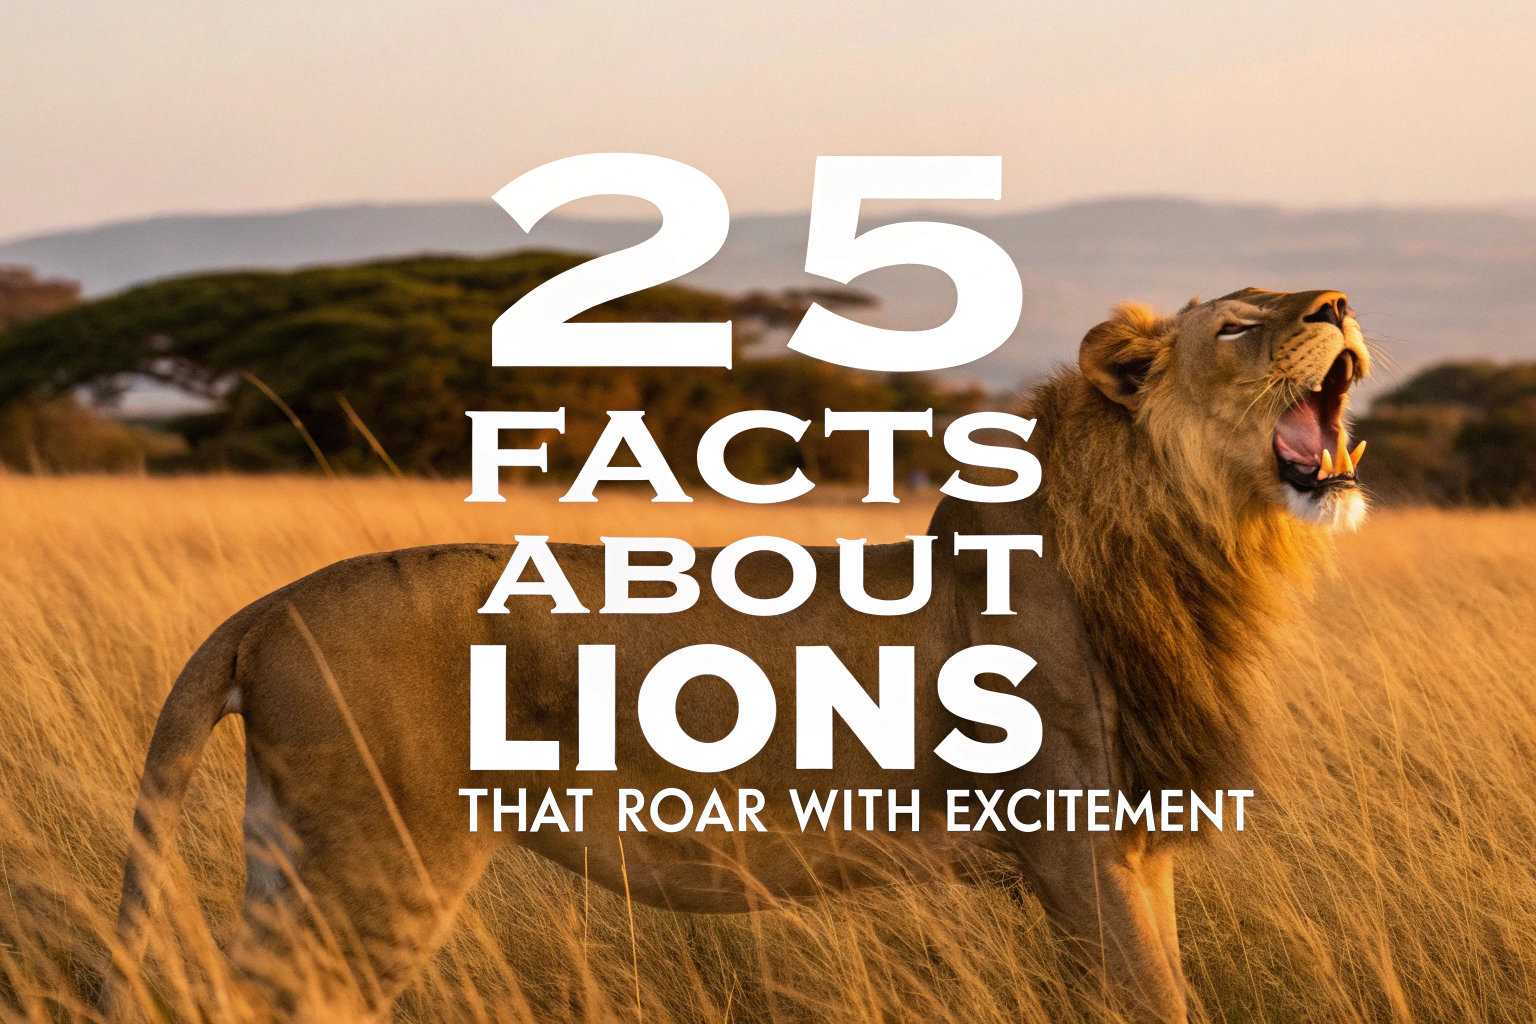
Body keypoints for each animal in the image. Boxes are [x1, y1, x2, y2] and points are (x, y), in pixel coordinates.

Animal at [104, 288, 1369, 1023]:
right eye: (1238, 323)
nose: (1339, 300)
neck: (1196, 545)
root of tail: (270, 603)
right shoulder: (1076, 849)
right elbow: (1155, 999)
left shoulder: (1136, 850)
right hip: (379, 864)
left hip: (291, 853)